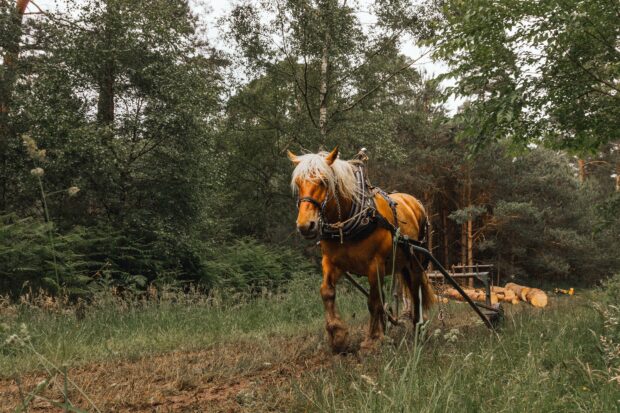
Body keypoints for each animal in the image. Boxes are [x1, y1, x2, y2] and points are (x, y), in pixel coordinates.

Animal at [288, 146, 434, 350]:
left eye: (324, 181)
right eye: (298, 183)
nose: (305, 226)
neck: (348, 223)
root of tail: (414, 201)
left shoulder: (375, 264)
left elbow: (373, 302)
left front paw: (372, 340)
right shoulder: (331, 262)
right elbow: (327, 292)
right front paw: (337, 335)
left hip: (415, 262)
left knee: (415, 291)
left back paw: (418, 329)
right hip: (402, 264)